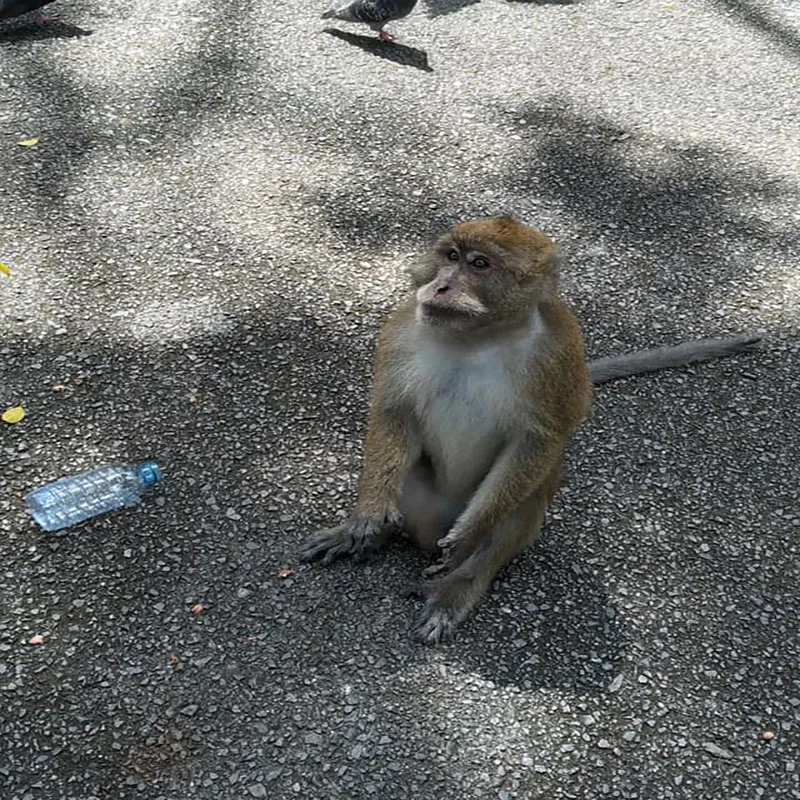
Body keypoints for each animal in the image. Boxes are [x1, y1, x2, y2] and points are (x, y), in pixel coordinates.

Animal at [299, 217, 761, 645]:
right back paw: (372, 534)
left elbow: (542, 439)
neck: (478, 337)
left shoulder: (561, 350)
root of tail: (426, 536)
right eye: (451, 256)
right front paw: (368, 517)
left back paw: (457, 587)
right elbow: (393, 413)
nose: (441, 286)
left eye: (479, 264)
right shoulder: (401, 328)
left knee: (527, 497)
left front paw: (469, 535)